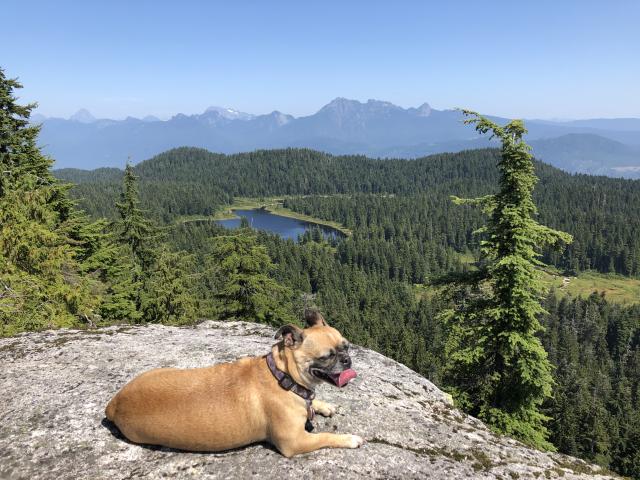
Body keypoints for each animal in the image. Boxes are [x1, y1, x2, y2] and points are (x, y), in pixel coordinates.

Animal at [107, 312, 362, 458]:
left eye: (346, 346)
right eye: (327, 356)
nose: (347, 359)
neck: (283, 376)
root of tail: (113, 405)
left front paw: (323, 405)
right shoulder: (295, 442)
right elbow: (325, 437)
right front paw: (349, 439)